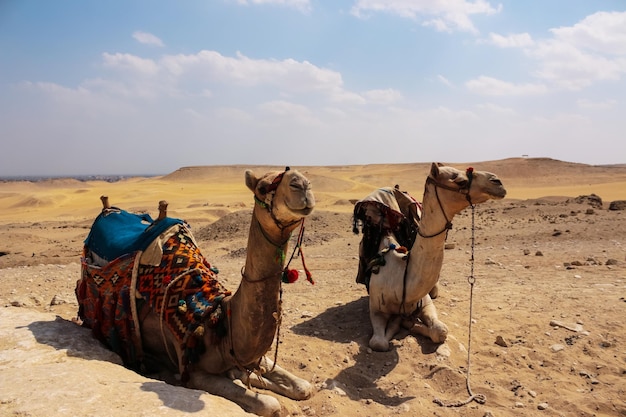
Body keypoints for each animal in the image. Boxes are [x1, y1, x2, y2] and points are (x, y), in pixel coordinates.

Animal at [75, 167, 314, 416]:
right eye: (263, 188)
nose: (302, 184)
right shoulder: (193, 372)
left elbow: (304, 387)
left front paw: (250, 376)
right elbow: (270, 405)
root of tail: (108, 210)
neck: (218, 321)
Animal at [354, 162, 504, 352]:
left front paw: (408, 323)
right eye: (460, 181)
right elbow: (379, 343)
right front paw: (398, 324)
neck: (402, 276)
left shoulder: (425, 302)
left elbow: (441, 330)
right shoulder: (376, 308)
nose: (497, 182)